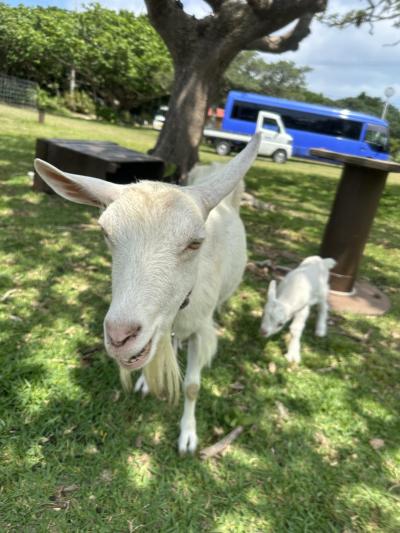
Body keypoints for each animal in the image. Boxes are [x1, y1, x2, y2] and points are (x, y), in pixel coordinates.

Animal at [33, 134, 260, 454]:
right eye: (105, 233)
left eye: (195, 242)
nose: (120, 336)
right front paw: (143, 382)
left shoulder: (200, 330)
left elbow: (192, 387)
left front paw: (187, 437)